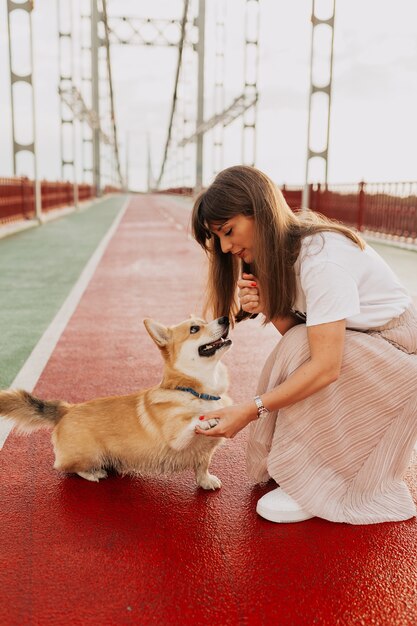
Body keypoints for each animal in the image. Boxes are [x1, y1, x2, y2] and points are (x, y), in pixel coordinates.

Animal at [0, 316, 232, 488]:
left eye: (206, 319)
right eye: (194, 329)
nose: (225, 318)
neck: (197, 391)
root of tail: (66, 410)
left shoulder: (205, 454)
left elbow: (202, 467)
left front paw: (206, 482)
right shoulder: (176, 439)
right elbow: (192, 422)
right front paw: (206, 420)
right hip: (89, 455)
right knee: (65, 467)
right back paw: (94, 473)